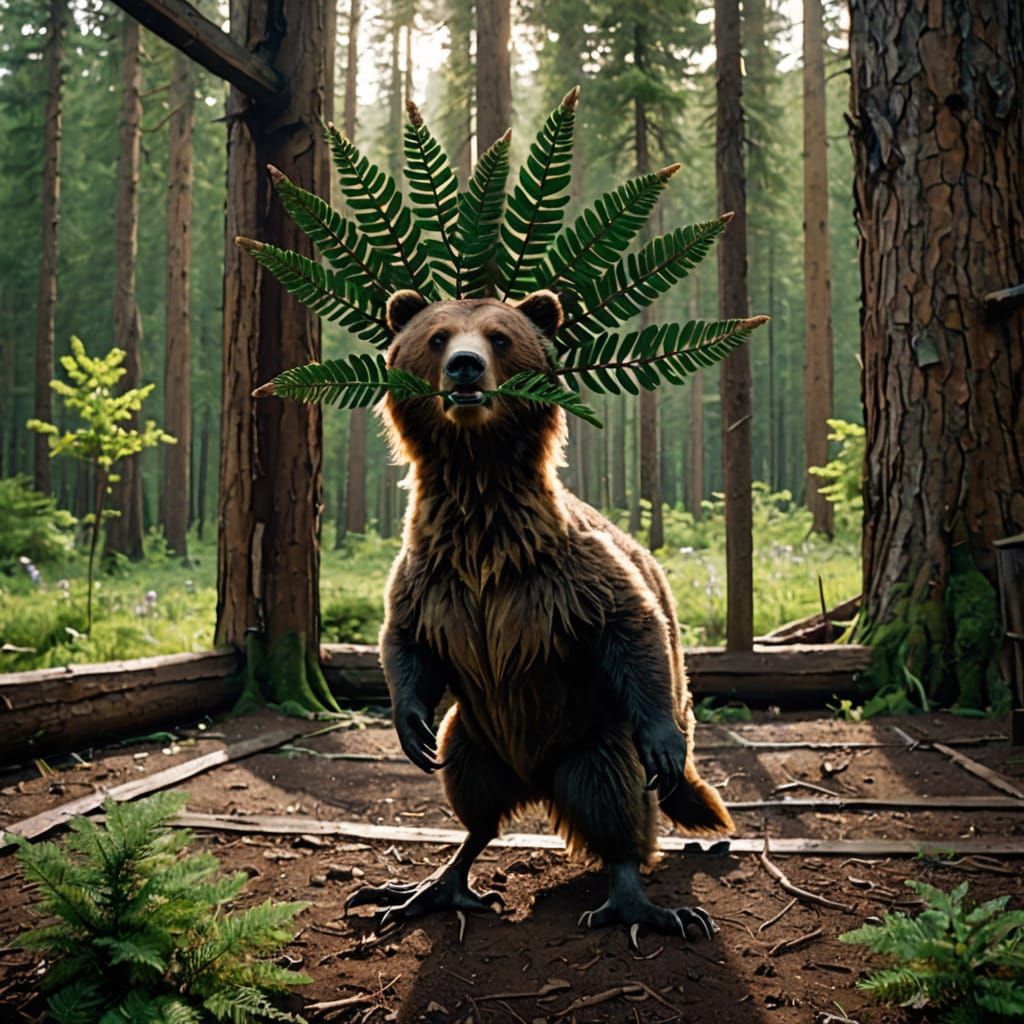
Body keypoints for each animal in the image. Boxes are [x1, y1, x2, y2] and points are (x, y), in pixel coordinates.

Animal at [345, 288, 734, 942]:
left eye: (499, 337)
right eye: (437, 337)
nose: (465, 367)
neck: (481, 512)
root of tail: (534, 778)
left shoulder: (566, 575)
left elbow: (634, 627)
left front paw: (664, 743)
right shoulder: (431, 579)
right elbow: (403, 644)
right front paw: (409, 725)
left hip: (588, 733)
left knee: (613, 801)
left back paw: (643, 906)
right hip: (476, 736)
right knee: (474, 806)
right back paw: (423, 888)